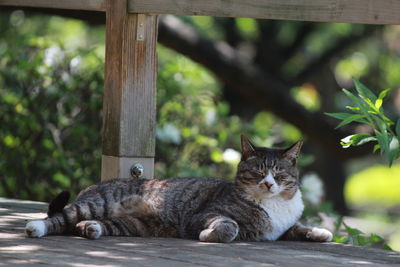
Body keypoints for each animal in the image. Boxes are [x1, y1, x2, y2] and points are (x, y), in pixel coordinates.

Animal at [24, 135, 332, 244]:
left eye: (279, 174)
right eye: (258, 172)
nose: (268, 183)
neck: (273, 205)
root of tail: (91, 187)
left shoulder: (281, 228)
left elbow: (299, 227)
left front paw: (320, 232)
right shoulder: (204, 215)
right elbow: (228, 227)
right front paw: (209, 236)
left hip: (130, 224)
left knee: (83, 225)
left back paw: (92, 229)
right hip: (95, 204)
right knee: (59, 218)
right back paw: (35, 228)